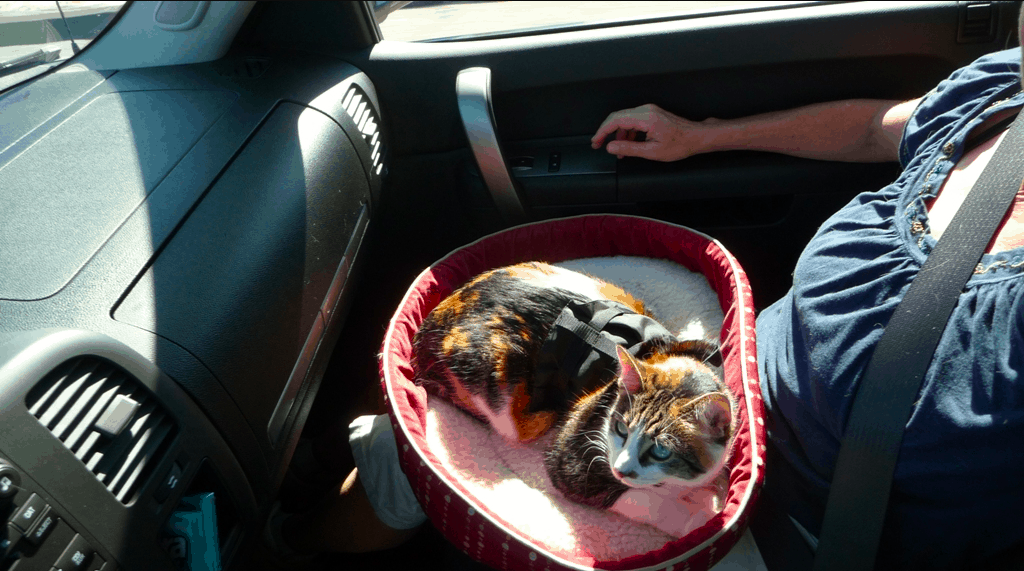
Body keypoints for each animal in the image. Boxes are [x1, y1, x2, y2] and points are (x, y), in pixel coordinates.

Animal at [409, 264, 737, 509]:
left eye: (661, 450)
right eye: (621, 429)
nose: (621, 468)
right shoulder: (576, 459)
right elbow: (646, 502)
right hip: (502, 389)